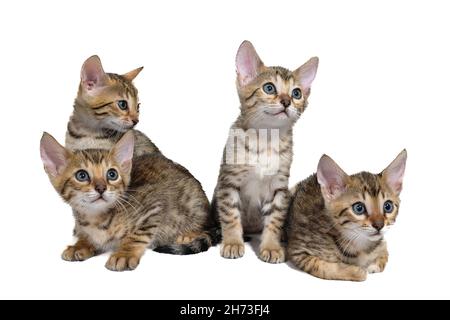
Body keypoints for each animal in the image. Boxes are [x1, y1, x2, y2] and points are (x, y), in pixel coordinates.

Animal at [41, 131, 217, 272]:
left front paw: (124, 254)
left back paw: (188, 235)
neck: (95, 218)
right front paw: (80, 244)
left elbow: (138, 235)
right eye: (81, 175)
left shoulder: (154, 207)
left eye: (112, 174)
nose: (101, 188)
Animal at [212, 40, 320, 262]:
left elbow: (275, 219)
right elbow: (230, 215)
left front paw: (271, 246)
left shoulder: (279, 187)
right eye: (269, 88)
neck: (266, 140)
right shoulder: (228, 182)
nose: (286, 101)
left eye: (296, 93)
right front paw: (232, 242)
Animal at [288, 151, 408, 282]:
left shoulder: (382, 243)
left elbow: (384, 254)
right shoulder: (299, 251)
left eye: (388, 206)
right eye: (359, 208)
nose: (379, 225)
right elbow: (324, 268)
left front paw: (373, 265)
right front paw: (357, 271)